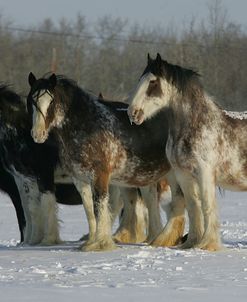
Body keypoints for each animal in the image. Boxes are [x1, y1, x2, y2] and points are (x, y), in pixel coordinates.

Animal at [26, 72, 187, 251]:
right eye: (31, 101)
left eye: (51, 101)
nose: (37, 134)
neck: (88, 126)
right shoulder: (80, 180)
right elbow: (89, 208)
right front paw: (91, 241)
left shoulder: (100, 176)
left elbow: (100, 206)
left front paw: (102, 243)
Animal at [127, 53, 247, 250]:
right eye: (139, 80)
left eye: (153, 82)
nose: (133, 113)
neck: (195, 124)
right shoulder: (183, 175)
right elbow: (193, 207)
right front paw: (192, 243)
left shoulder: (204, 172)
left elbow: (207, 206)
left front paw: (208, 244)